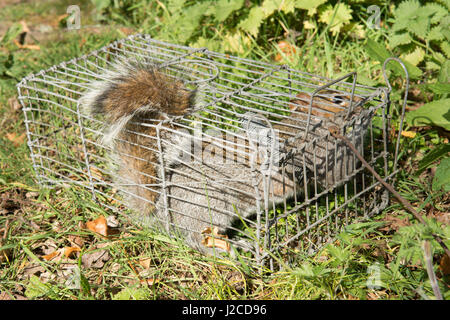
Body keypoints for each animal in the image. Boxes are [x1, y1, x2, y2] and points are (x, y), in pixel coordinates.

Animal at [81, 59, 370, 255]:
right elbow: (341, 175)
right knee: (199, 240)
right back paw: (231, 248)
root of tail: (163, 215)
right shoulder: (321, 159)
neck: (306, 125)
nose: (364, 102)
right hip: (209, 208)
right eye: (337, 98)